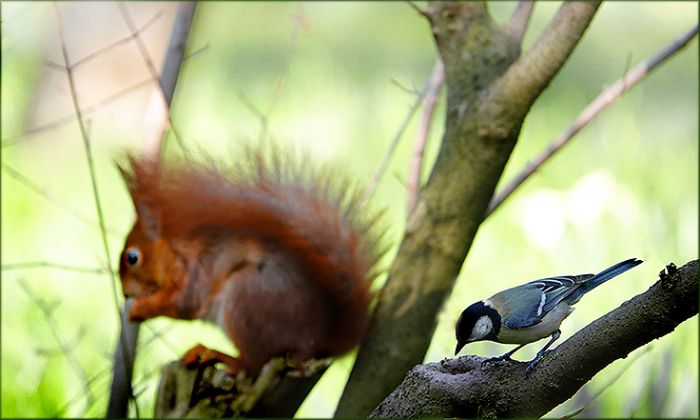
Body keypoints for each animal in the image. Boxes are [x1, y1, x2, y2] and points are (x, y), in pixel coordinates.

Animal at [116, 149, 385, 375]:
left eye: (132, 258)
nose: (125, 293)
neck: (176, 250)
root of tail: (320, 342)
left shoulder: (198, 269)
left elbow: (182, 302)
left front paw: (139, 309)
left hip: (244, 298)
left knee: (254, 363)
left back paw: (217, 355)